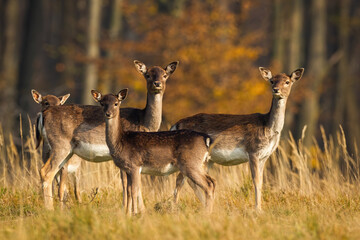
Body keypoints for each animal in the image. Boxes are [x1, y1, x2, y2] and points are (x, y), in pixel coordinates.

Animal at [38, 61, 179, 209]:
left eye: (165, 75)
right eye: (147, 75)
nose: (157, 83)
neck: (143, 122)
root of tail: (44, 114)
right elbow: (128, 185)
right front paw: (130, 209)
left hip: (63, 150)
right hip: (60, 144)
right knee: (46, 172)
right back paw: (49, 209)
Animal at [171, 67, 304, 210]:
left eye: (287, 82)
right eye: (272, 81)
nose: (276, 89)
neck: (268, 127)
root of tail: (176, 124)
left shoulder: (264, 156)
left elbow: (261, 182)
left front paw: (260, 208)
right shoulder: (253, 151)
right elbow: (256, 181)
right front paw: (258, 209)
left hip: (206, 159)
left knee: (192, 181)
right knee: (181, 180)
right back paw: (176, 207)